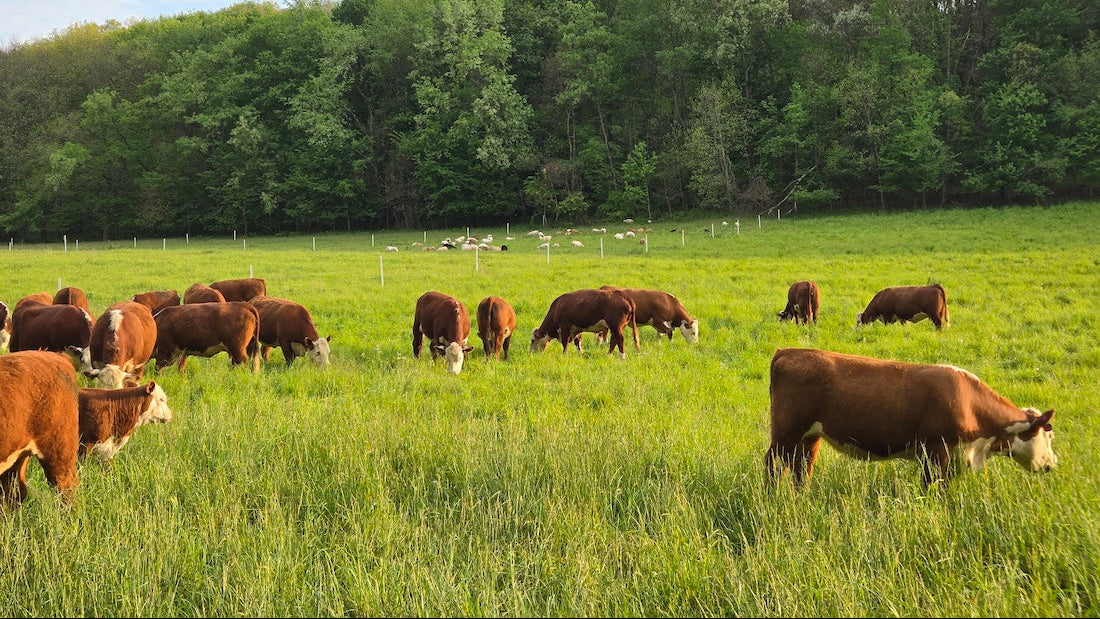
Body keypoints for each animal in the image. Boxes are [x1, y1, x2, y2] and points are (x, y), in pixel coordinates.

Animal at [765, 348, 1058, 487]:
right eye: (1049, 434)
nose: (1053, 464)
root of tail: (788, 352)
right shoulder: (936, 451)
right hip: (785, 433)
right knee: (772, 464)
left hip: (809, 436)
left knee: (802, 468)